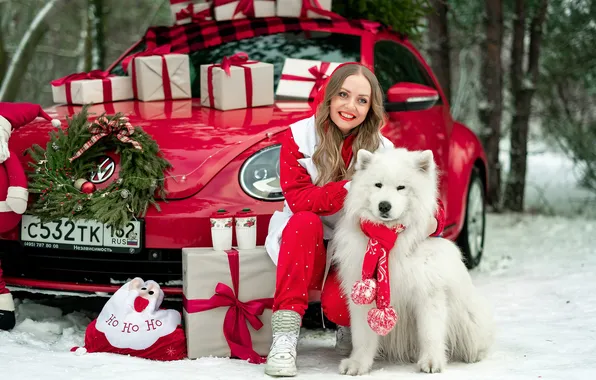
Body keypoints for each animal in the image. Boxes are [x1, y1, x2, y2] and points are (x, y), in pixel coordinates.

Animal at [330, 148, 494, 374]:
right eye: (378, 185)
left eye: (401, 187)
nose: (384, 205)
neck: (389, 240)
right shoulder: (364, 300)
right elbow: (363, 337)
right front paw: (357, 364)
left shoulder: (428, 295)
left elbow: (430, 333)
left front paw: (431, 362)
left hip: (467, 317)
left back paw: (474, 354)